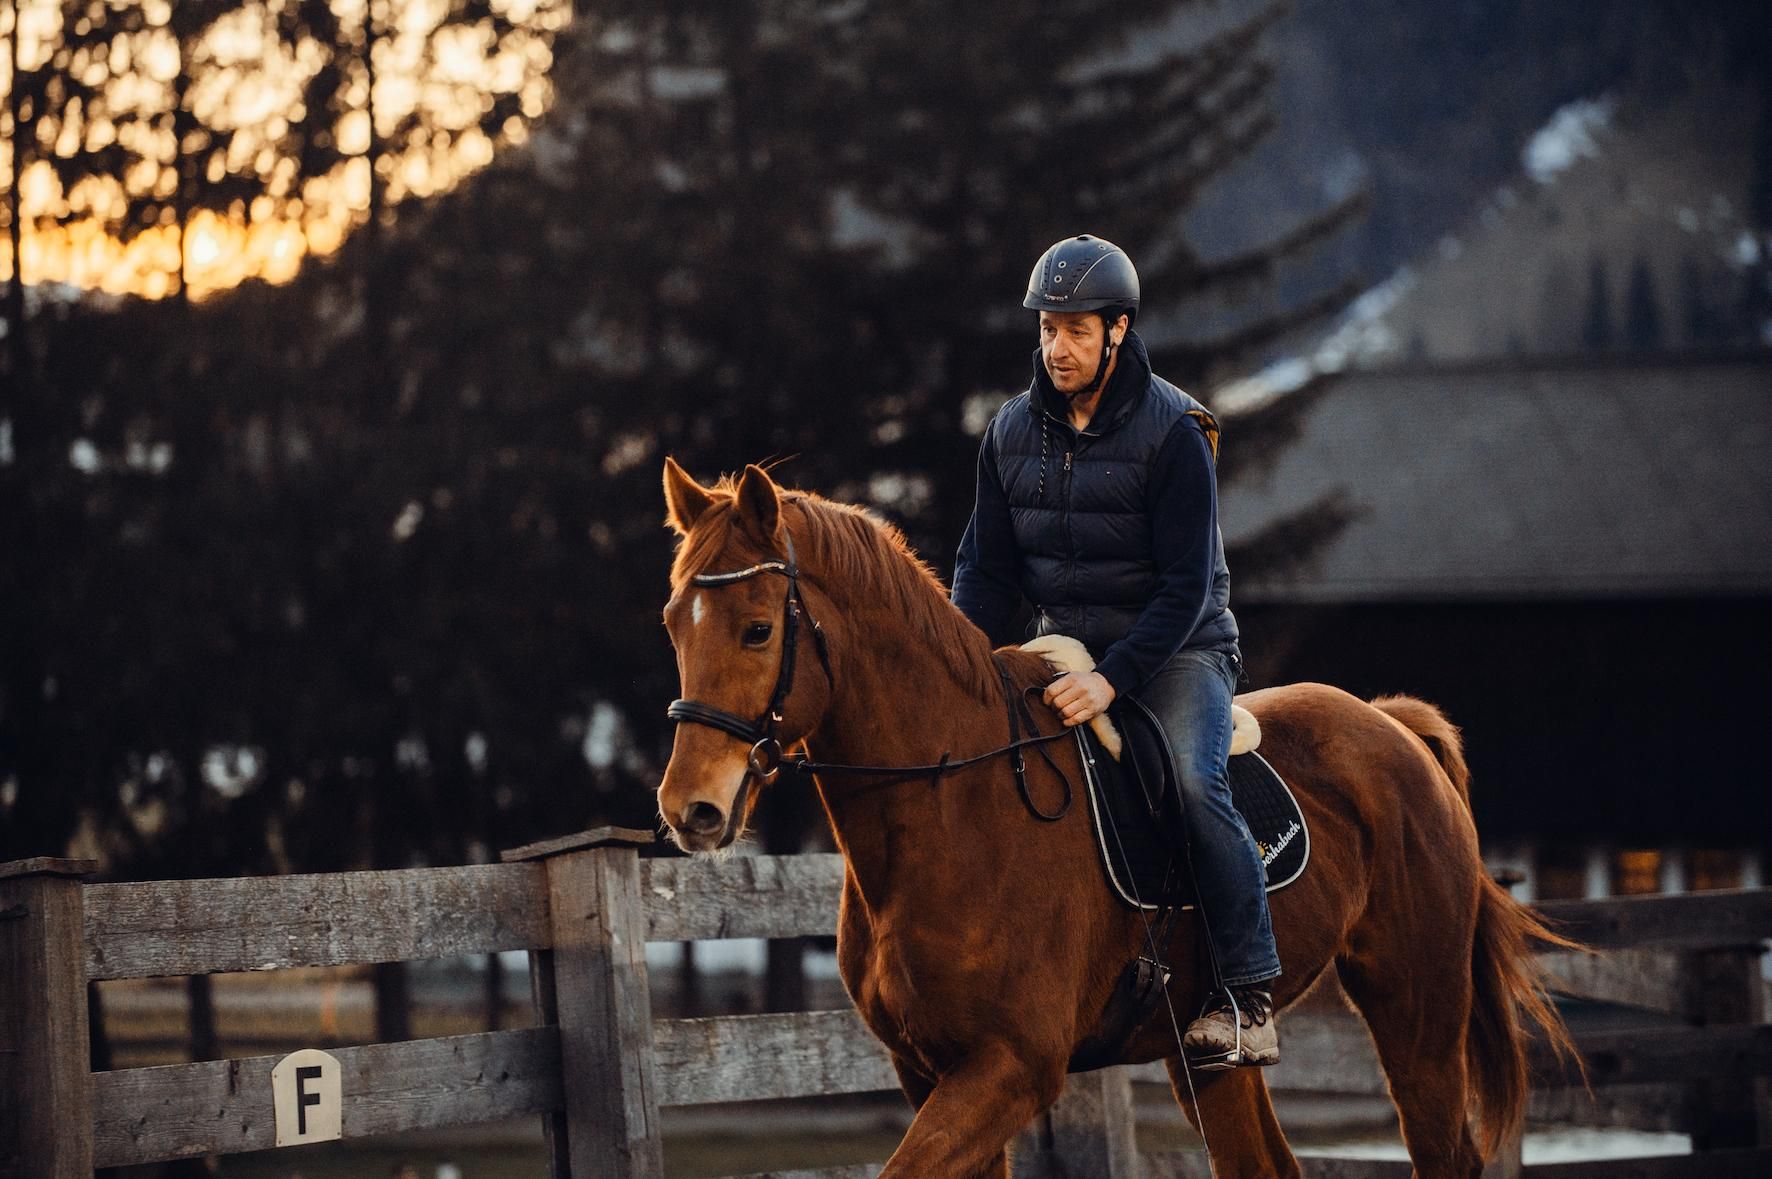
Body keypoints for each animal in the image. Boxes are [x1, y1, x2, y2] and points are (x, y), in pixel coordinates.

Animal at [655, 458, 1576, 1179]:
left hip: (1417, 1008)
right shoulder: (930, 1072)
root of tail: (1394, 728)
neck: (953, 811)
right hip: (1209, 1053)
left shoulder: (1010, 1068)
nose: (689, 808)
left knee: (1444, 1152)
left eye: (758, 629)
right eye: (672, 623)